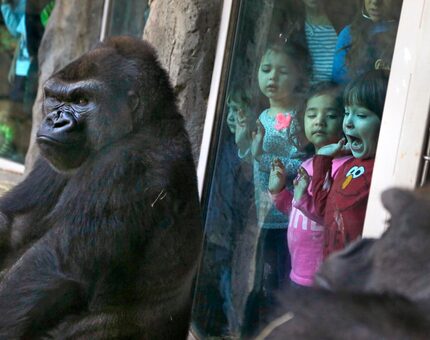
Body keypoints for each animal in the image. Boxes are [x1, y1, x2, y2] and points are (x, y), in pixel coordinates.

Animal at [0, 35, 202, 338]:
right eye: (55, 98)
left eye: (82, 100)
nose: (55, 120)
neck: (148, 121)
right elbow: (16, 222)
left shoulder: (125, 164)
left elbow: (51, 267)